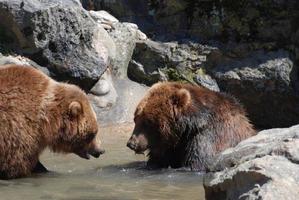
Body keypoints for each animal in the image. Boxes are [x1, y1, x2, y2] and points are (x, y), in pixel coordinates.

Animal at [127, 82, 256, 171]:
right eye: (135, 118)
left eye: (147, 122)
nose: (132, 143)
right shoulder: (171, 145)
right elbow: (157, 160)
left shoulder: (208, 136)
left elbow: (197, 162)